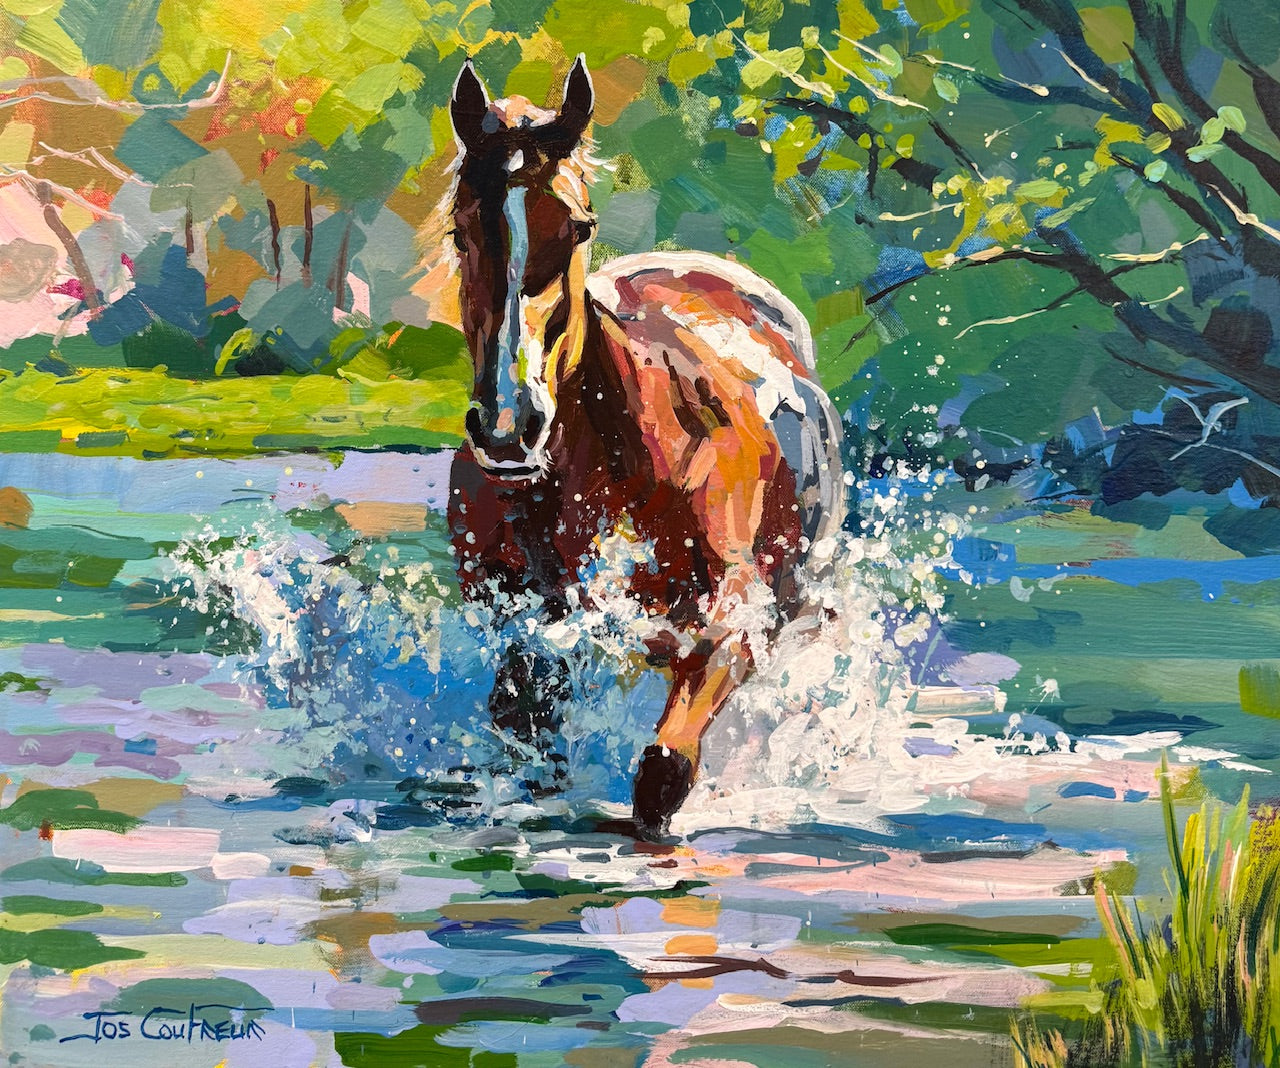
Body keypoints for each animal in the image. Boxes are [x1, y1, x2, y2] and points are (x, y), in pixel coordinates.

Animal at [447, 55, 845, 839]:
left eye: (578, 226)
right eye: (458, 228)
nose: (509, 425)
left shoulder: (734, 614)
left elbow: (663, 769)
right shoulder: (517, 615)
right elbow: (524, 718)